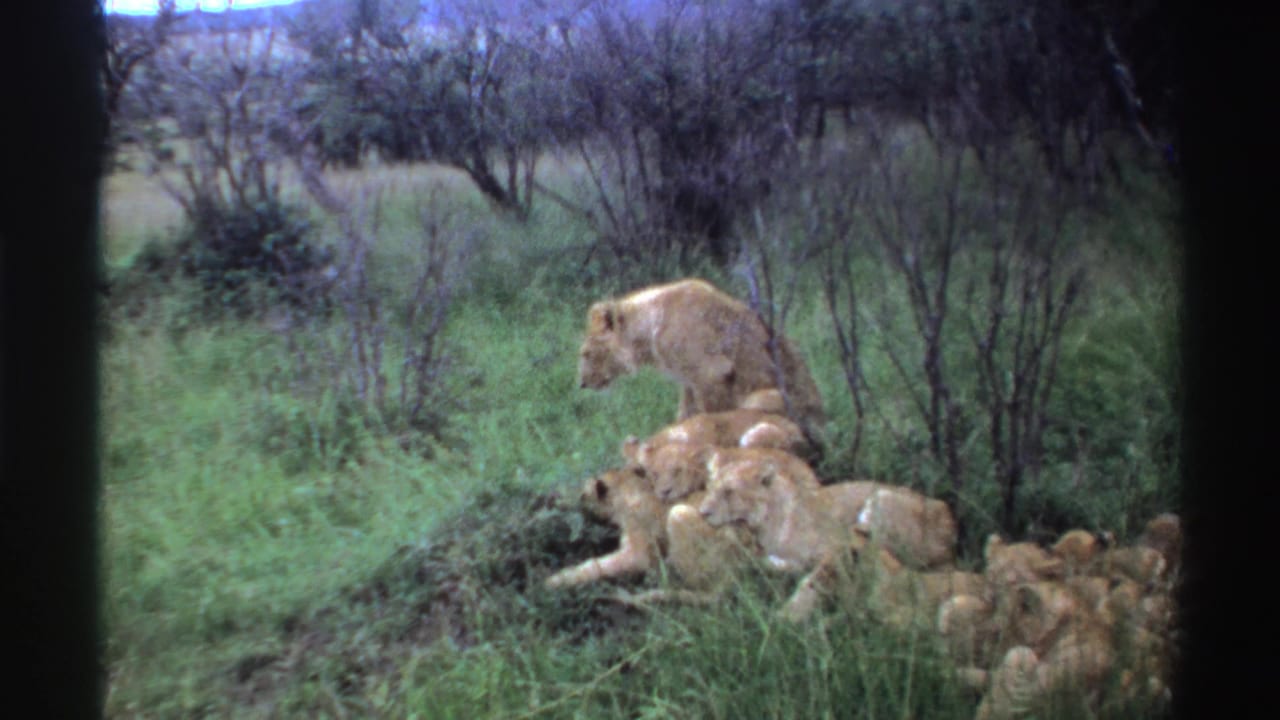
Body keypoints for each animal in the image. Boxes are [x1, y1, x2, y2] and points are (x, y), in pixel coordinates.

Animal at [576, 278, 826, 440]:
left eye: (586, 353)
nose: (583, 383)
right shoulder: (688, 382)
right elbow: (684, 417)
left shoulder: (712, 373)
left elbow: (714, 418)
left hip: (766, 399)